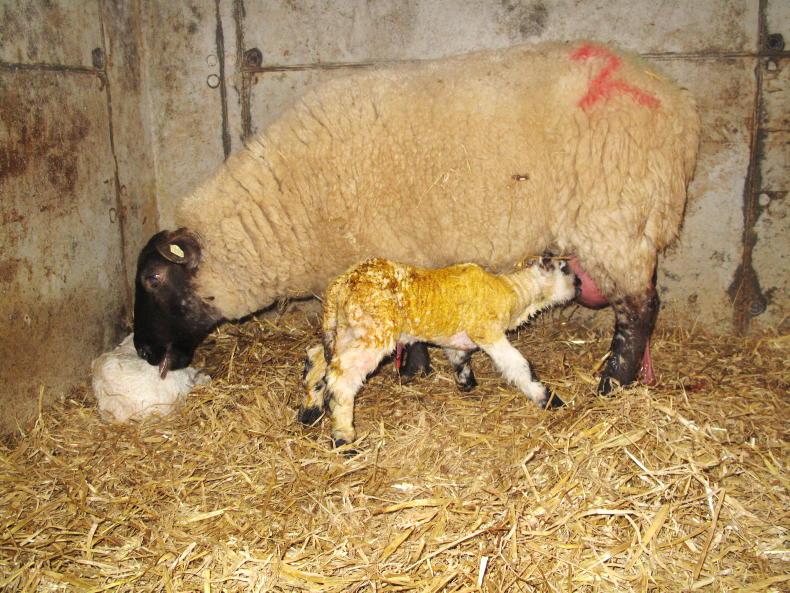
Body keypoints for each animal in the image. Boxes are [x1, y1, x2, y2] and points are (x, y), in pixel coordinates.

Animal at [132, 40, 699, 397]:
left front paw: (413, 373)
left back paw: (613, 382)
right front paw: (420, 371)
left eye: (154, 278)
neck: (291, 205)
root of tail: (677, 104)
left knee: (639, 308)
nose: (140, 348)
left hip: (617, 219)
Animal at [299, 256, 578, 447]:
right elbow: (519, 367)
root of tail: (340, 286)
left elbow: (460, 360)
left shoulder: (455, 341)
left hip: (345, 329)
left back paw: (309, 412)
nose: (579, 283)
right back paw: (344, 438)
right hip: (372, 333)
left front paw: (467, 384)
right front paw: (548, 399)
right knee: (341, 378)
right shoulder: (488, 333)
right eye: (565, 268)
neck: (511, 293)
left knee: (319, 359)